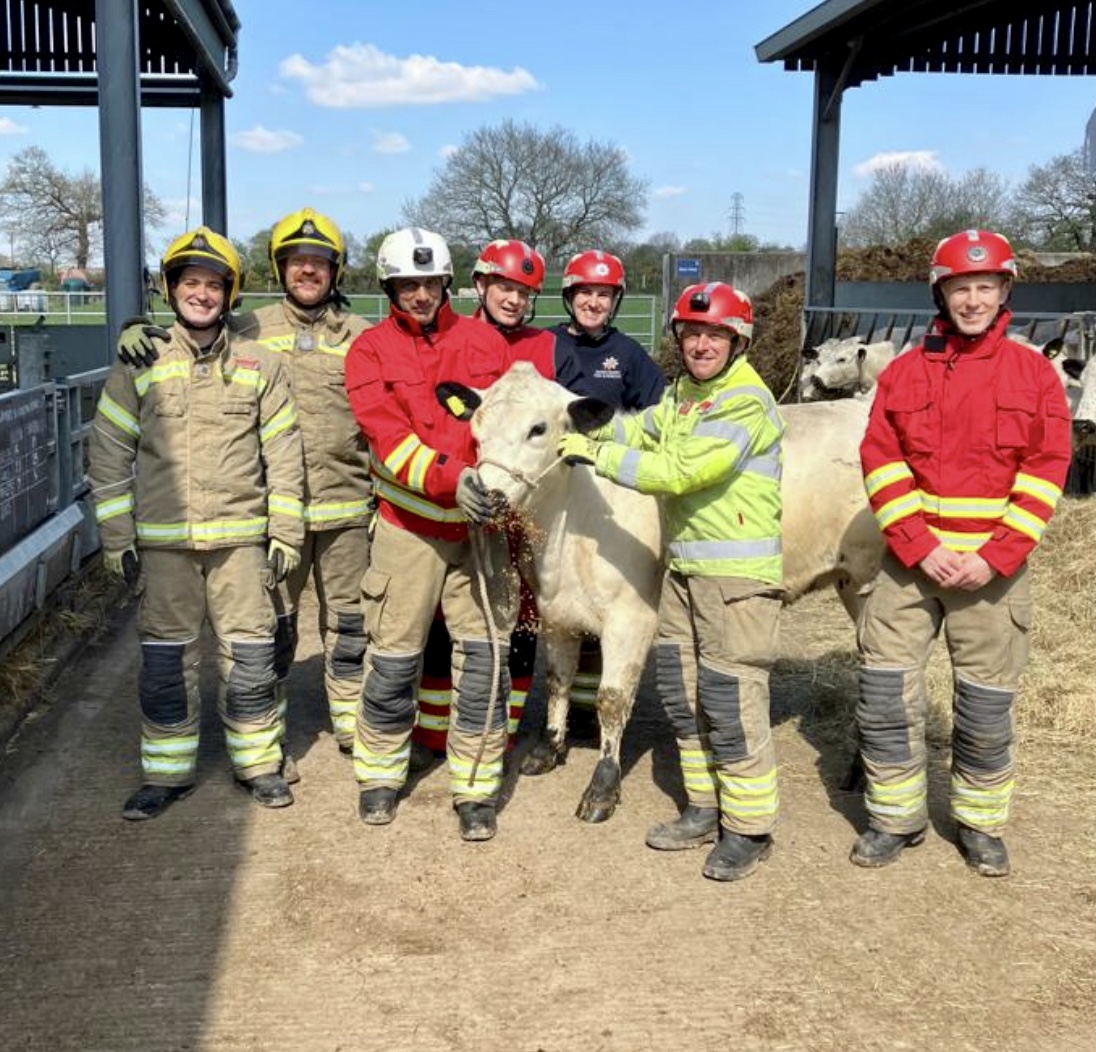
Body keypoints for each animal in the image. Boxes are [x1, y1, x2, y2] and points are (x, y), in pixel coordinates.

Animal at [436, 366, 881, 824]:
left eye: (537, 429)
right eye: (477, 427)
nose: (488, 495)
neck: (571, 524)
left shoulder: (631, 619)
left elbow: (611, 700)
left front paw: (602, 788)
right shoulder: (556, 612)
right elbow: (559, 680)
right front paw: (548, 748)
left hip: (870, 580)